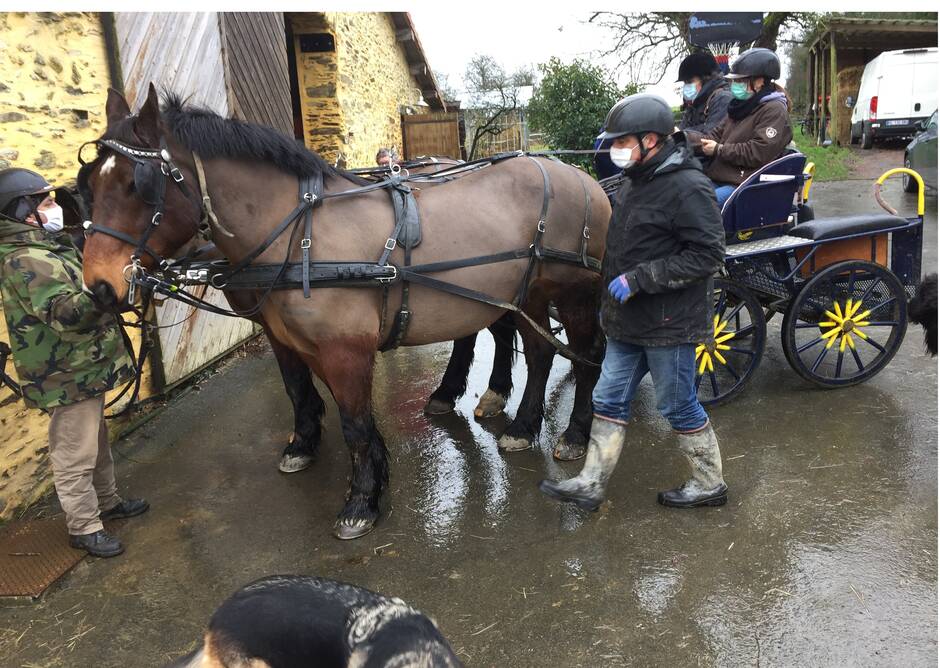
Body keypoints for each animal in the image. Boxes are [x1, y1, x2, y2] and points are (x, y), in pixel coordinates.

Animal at [79, 87, 608, 536]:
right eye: (89, 186)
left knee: (589, 358)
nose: (99, 286)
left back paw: (574, 435)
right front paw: (333, 456)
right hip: (527, 294)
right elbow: (317, 399)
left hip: (576, 295)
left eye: (137, 185)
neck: (300, 236)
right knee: (538, 352)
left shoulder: (345, 349)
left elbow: (353, 424)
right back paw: (520, 424)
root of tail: (579, 176)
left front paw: (360, 502)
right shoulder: (298, 341)